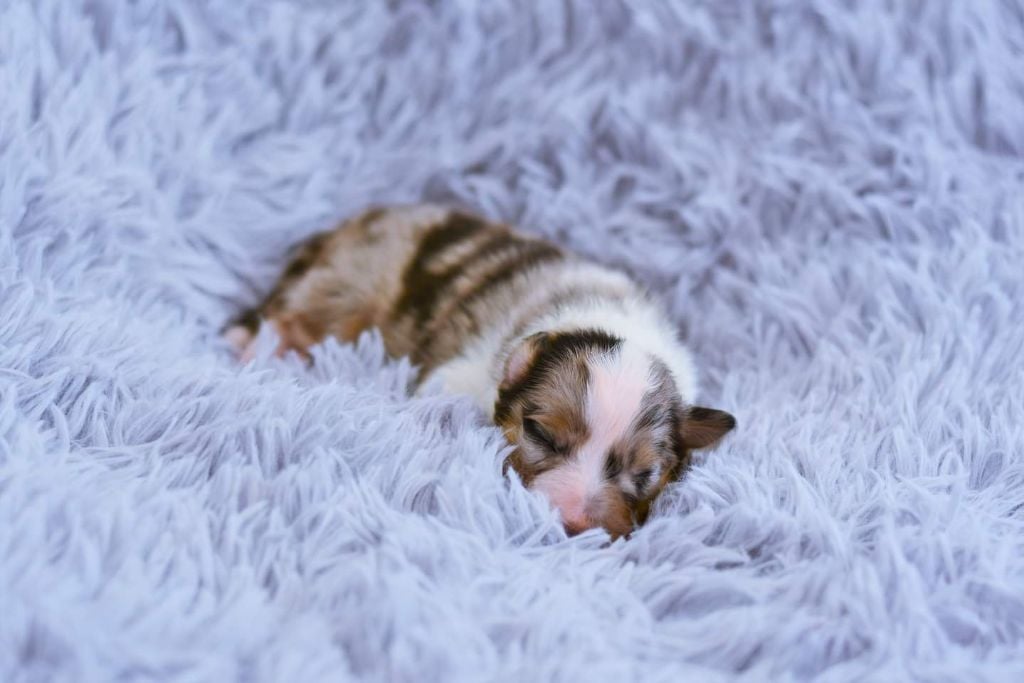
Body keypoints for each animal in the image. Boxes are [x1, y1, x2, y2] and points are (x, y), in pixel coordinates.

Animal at [227, 204, 733, 540]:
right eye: (541, 435)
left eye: (646, 473)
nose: (573, 525)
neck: (611, 322)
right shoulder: (456, 375)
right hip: (345, 284)